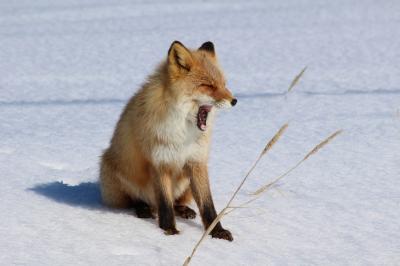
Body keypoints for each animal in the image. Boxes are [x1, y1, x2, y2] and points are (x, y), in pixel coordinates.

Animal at [101, 40, 238, 241]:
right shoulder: (160, 162)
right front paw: (169, 231)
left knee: (176, 201)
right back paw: (143, 209)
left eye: (224, 84)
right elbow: (165, 204)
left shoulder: (197, 161)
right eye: (208, 85)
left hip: (186, 184)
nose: (234, 101)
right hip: (113, 170)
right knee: (136, 201)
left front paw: (217, 232)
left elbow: (208, 206)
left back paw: (183, 209)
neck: (182, 133)